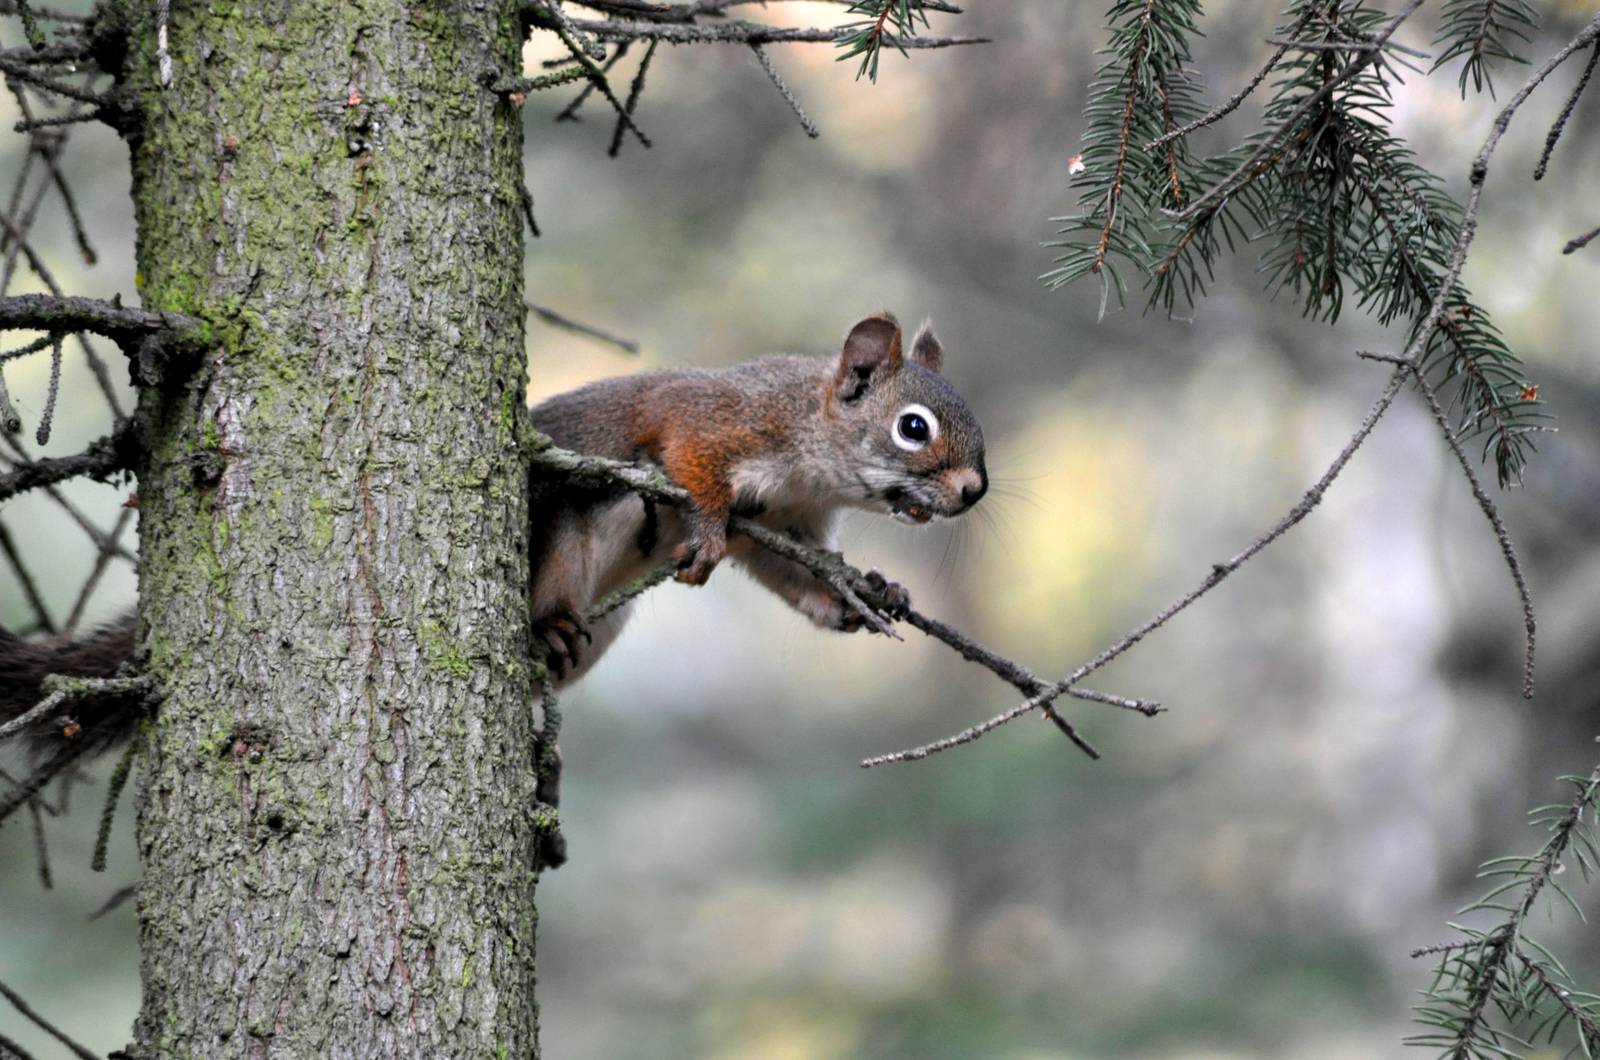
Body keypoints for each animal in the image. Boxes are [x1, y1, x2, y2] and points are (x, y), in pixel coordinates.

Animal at [1, 312, 987, 756]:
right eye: (912, 428)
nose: (975, 491)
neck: (814, 451)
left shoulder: (783, 525)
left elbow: (803, 579)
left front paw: (872, 593)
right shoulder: (715, 422)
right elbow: (690, 464)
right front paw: (702, 530)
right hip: (573, 518)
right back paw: (546, 625)